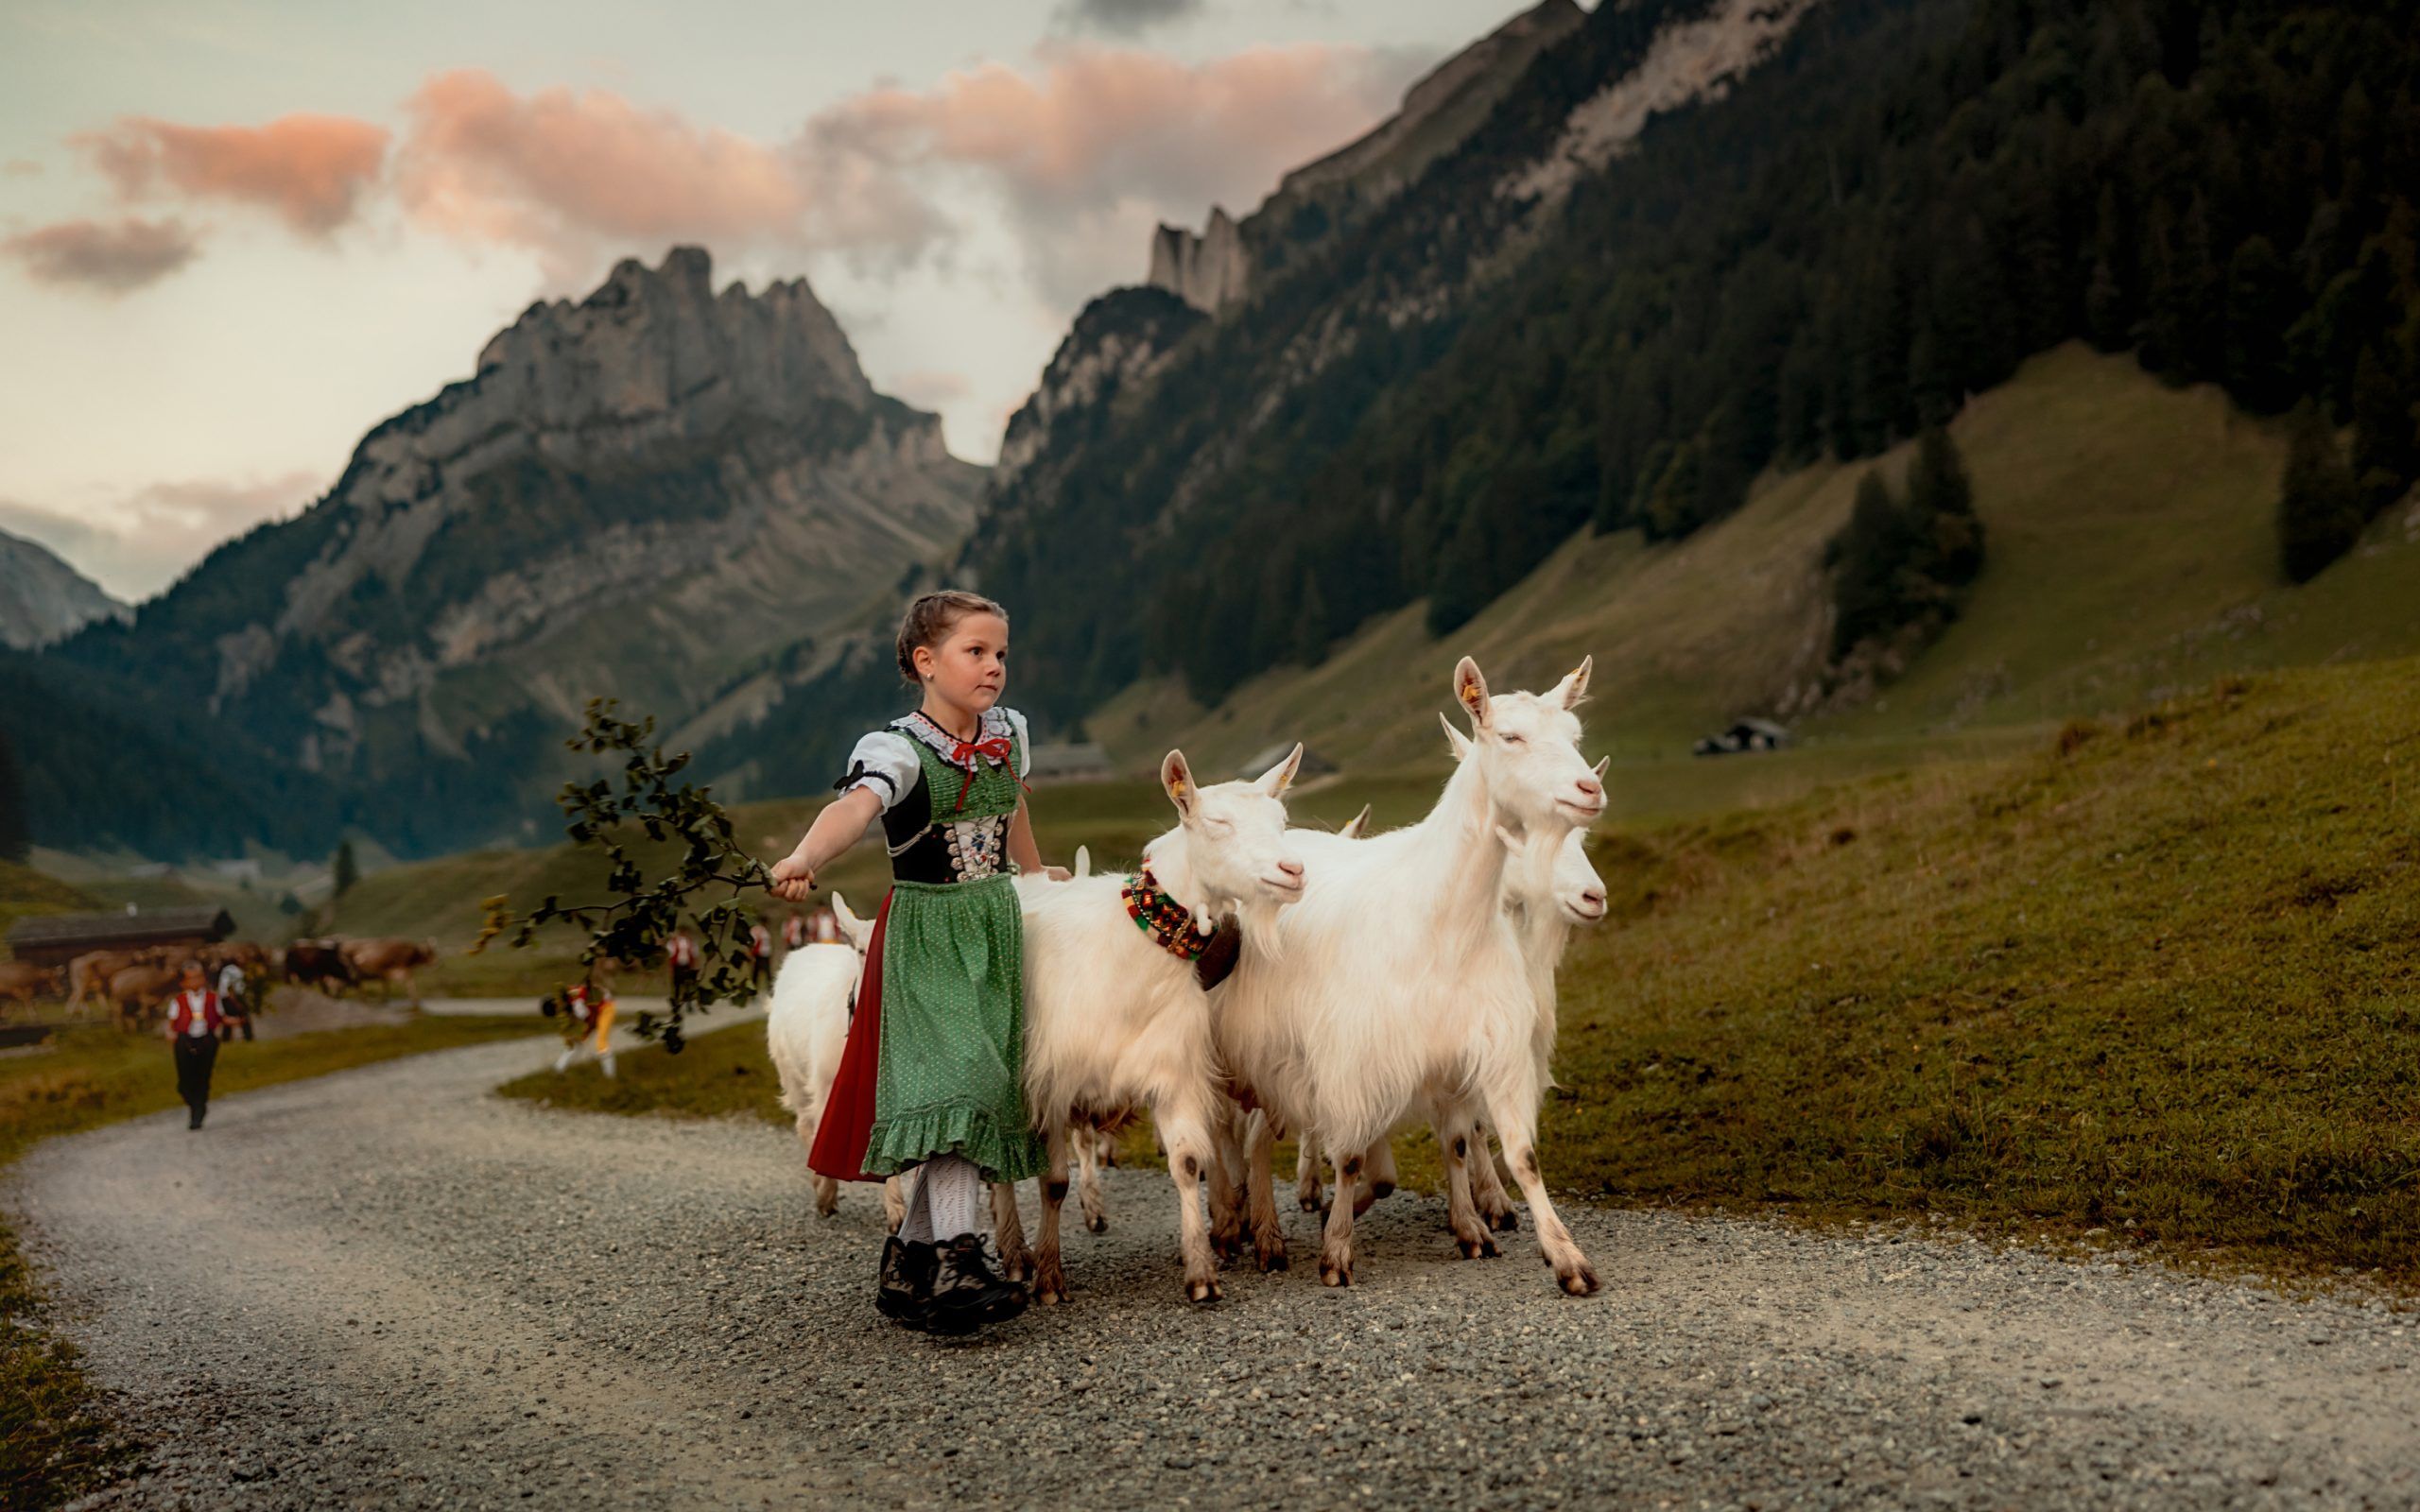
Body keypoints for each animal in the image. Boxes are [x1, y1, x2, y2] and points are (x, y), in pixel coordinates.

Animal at [996, 745, 1316, 1297]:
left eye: (1282, 820)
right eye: (1216, 823)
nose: (1292, 870)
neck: (1127, 956)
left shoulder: (1173, 1072)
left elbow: (1187, 1164)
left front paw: (1201, 1272)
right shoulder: (1051, 1084)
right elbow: (1053, 1183)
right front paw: (1049, 1274)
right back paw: (1014, 1252)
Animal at [1210, 653, 1606, 1286]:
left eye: (1574, 737)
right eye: (1510, 736)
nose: (1589, 789)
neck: (1444, 921)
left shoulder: (1480, 1047)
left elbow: (1502, 1150)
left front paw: (1554, 1252)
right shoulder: (1355, 1056)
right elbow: (1350, 1156)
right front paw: (1337, 1251)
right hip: (1257, 1053)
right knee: (1247, 1143)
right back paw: (1252, 1230)